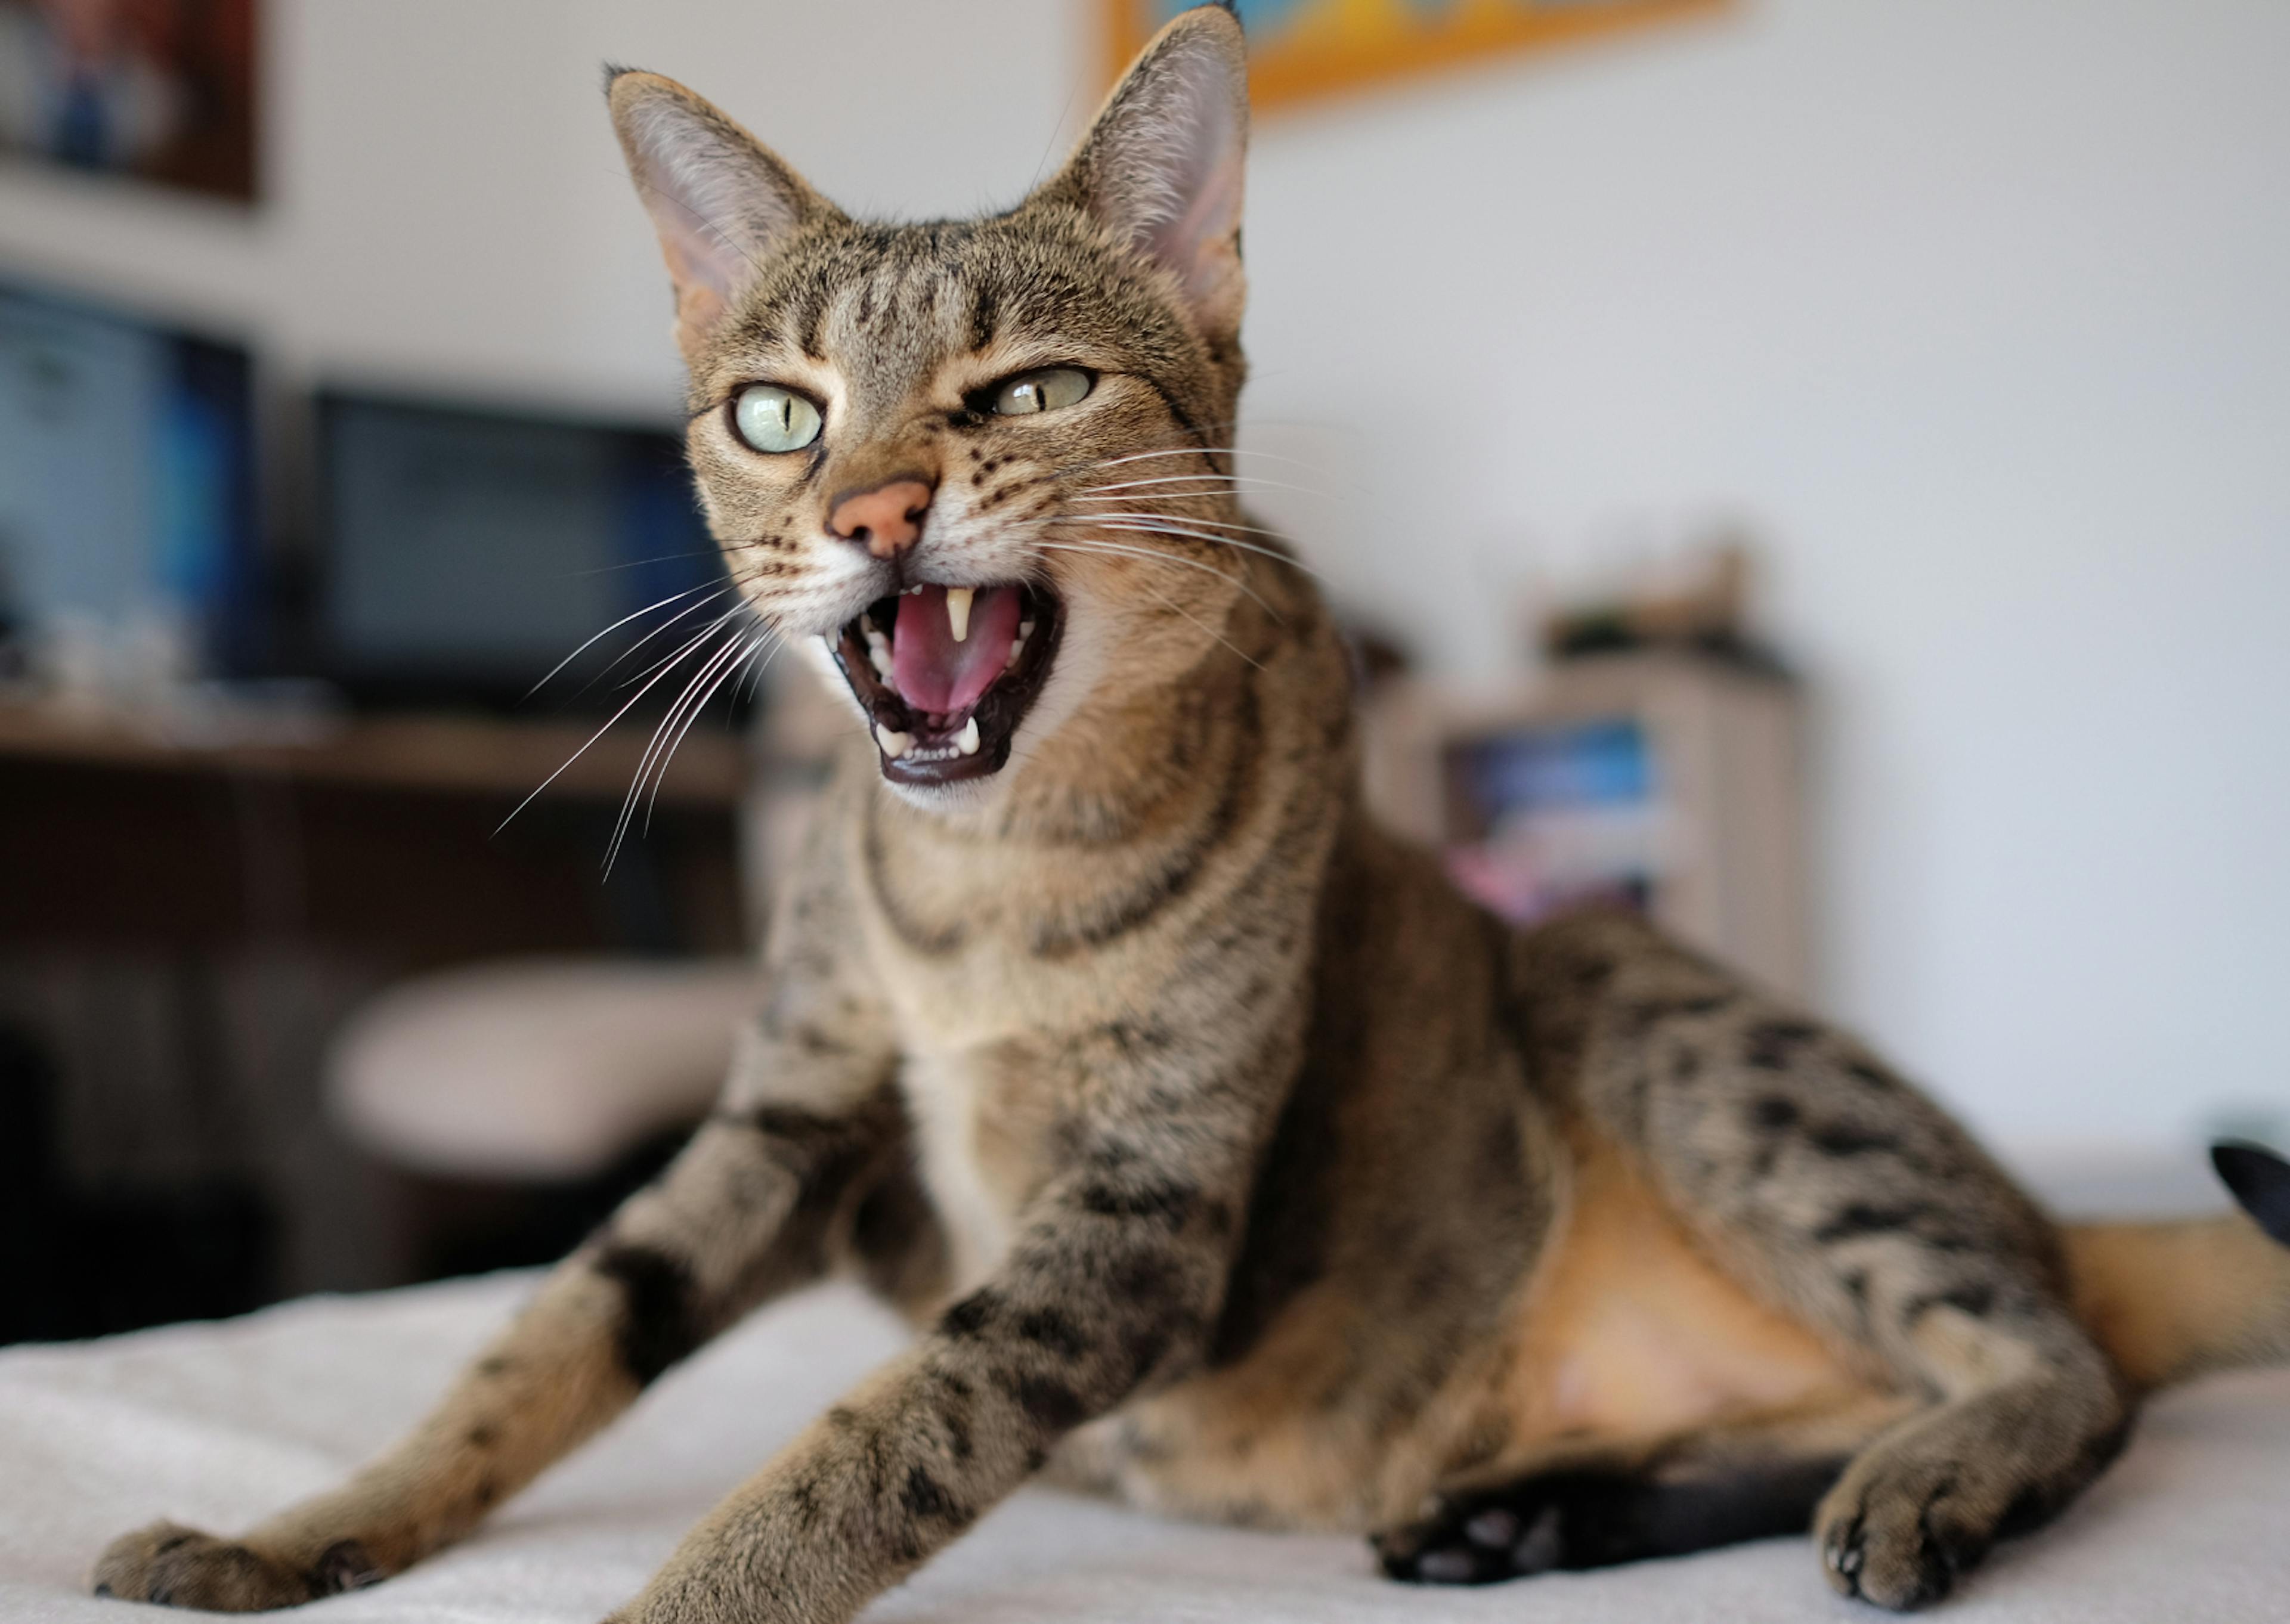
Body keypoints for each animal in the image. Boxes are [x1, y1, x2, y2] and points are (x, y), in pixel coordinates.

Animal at [89, 6, 2290, 1612]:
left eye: (1031, 392)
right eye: (780, 413)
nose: (872, 512)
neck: (984, 876)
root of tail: (2060, 1216)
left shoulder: (1141, 1213)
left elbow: (865, 1447)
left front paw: (667, 1601)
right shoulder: (784, 1125)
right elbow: (538, 1343)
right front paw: (293, 1531)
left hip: (1628, 985)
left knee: (2058, 1367)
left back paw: (1926, 1473)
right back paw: (1538, 1513)